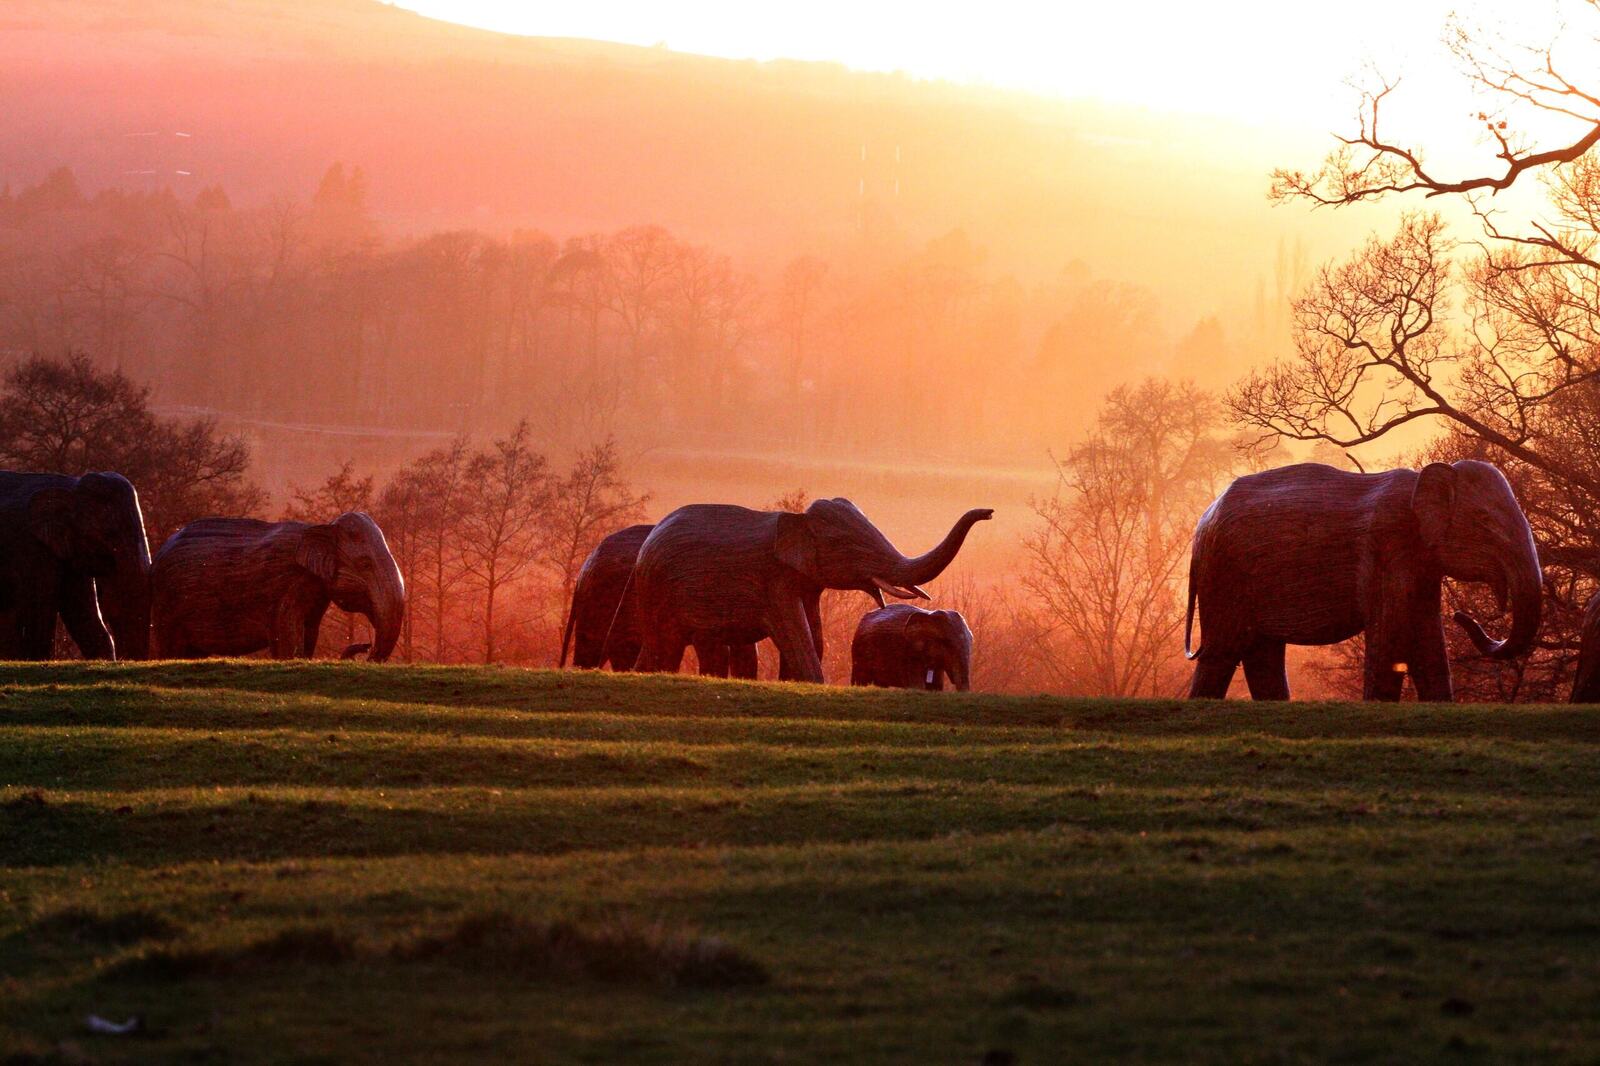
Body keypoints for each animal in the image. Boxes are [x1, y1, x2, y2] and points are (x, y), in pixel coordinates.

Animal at [153, 512, 406, 659]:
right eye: (365, 564)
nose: (364, 646)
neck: (320, 528)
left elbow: (310, 631)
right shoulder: (285, 585)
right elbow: (287, 632)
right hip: (167, 606)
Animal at [633, 496, 985, 681]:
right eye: (847, 546)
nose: (988, 511)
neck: (797, 520)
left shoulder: (806, 583)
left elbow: (814, 636)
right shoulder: (773, 578)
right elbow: (794, 634)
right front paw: (815, 682)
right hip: (658, 591)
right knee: (668, 644)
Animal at [1190, 460, 1536, 701]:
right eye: (1484, 521)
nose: (1462, 615)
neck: (1421, 480)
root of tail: (1203, 521)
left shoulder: (1420, 564)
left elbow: (1427, 637)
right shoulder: (1387, 546)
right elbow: (1392, 635)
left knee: (1262, 651)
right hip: (1222, 573)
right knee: (1222, 650)